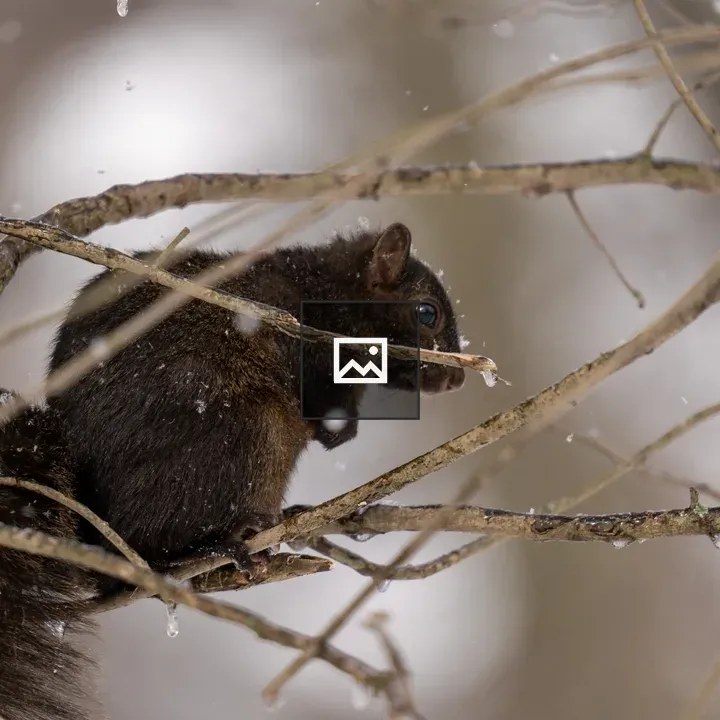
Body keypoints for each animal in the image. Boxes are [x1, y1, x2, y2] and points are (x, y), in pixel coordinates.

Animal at [0, 222, 464, 719]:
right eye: (427, 312)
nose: (457, 378)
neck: (324, 290)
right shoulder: (306, 346)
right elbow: (329, 415)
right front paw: (340, 430)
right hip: (248, 434)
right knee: (149, 540)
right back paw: (216, 546)